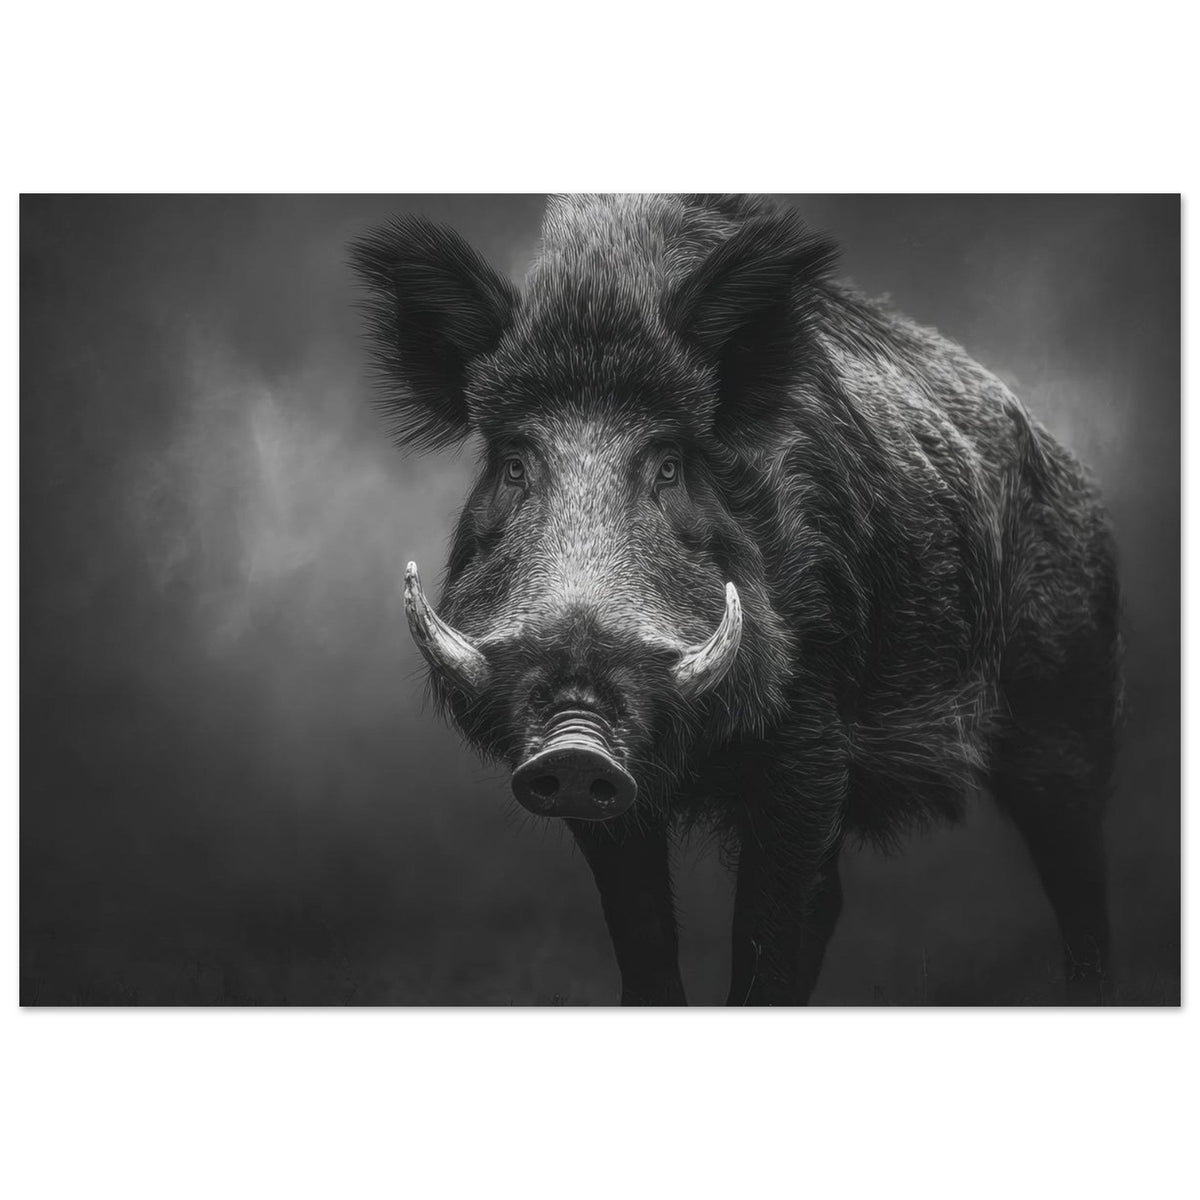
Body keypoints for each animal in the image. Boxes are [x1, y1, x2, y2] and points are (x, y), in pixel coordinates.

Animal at [349, 194, 1122, 1005]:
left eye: (669, 464)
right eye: (514, 465)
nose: (576, 737)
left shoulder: (813, 738)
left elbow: (770, 931)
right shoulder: (594, 794)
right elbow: (644, 931)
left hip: (1068, 706)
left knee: (1077, 870)